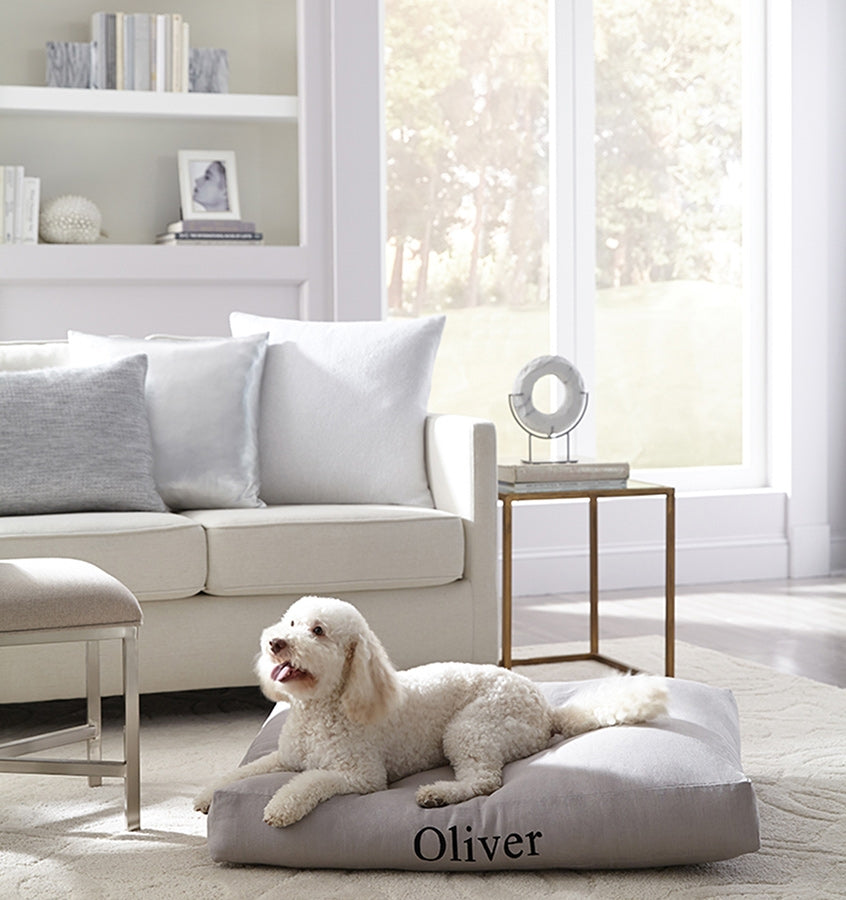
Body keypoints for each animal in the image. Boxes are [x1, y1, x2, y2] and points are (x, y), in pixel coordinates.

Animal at [195, 596, 672, 828]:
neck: (324, 706)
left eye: (318, 631)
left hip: (471, 728)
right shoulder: (284, 757)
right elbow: (242, 772)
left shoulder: (360, 777)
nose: (275, 643)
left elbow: (310, 782)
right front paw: (204, 796)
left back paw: (439, 793)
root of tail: (544, 707)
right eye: (290, 623)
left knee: (485, 782)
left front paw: (281, 807)